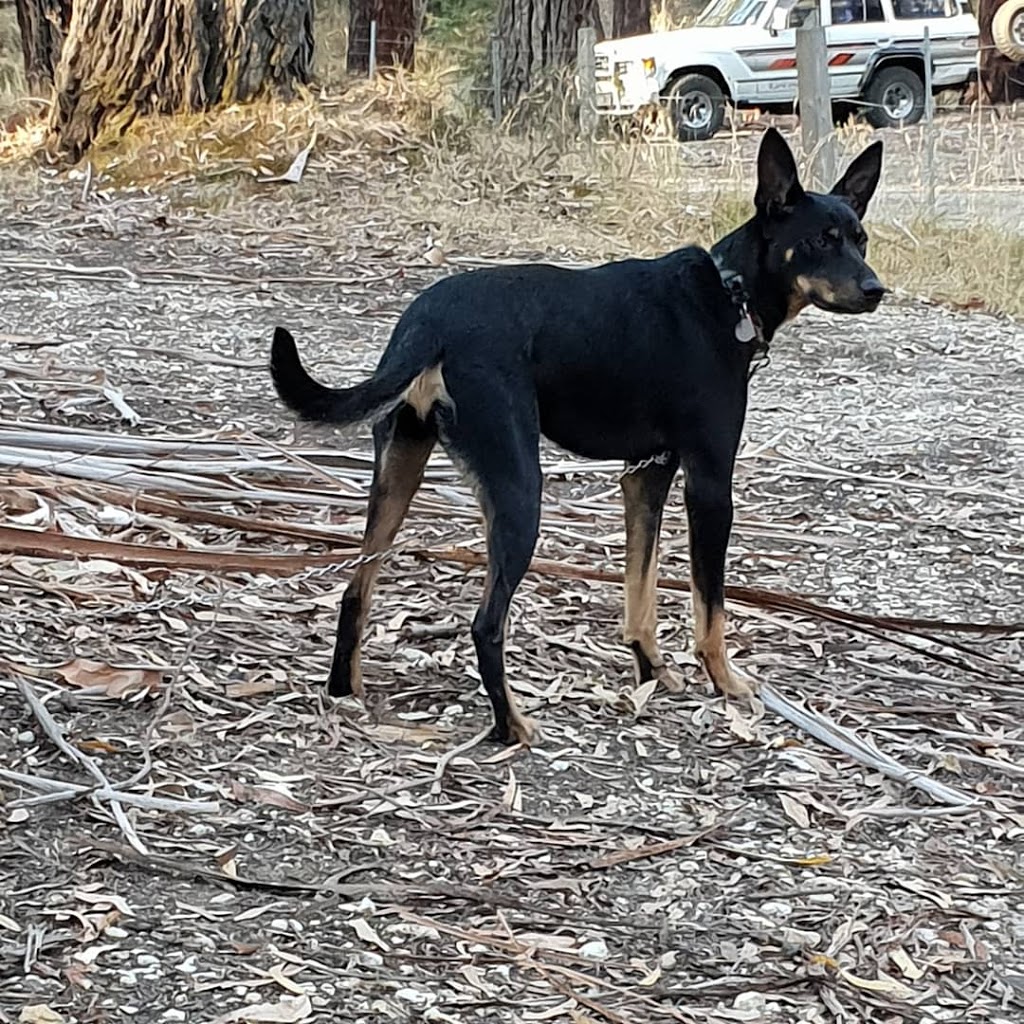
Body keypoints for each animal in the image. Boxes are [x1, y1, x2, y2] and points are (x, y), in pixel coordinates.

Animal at [268, 132, 884, 749]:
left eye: (860, 239)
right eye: (820, 241)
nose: (876, 289)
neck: (729, 292)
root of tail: (430, 323)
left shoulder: (646, 477)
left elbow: (640, 592)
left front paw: (652, 671)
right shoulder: (709, 484)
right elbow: (709, 607)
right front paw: (725, 682)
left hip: (399, 471)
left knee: (356, 589)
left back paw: (346, 691)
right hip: (520, 489)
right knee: (486, 624)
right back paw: (512, 725)